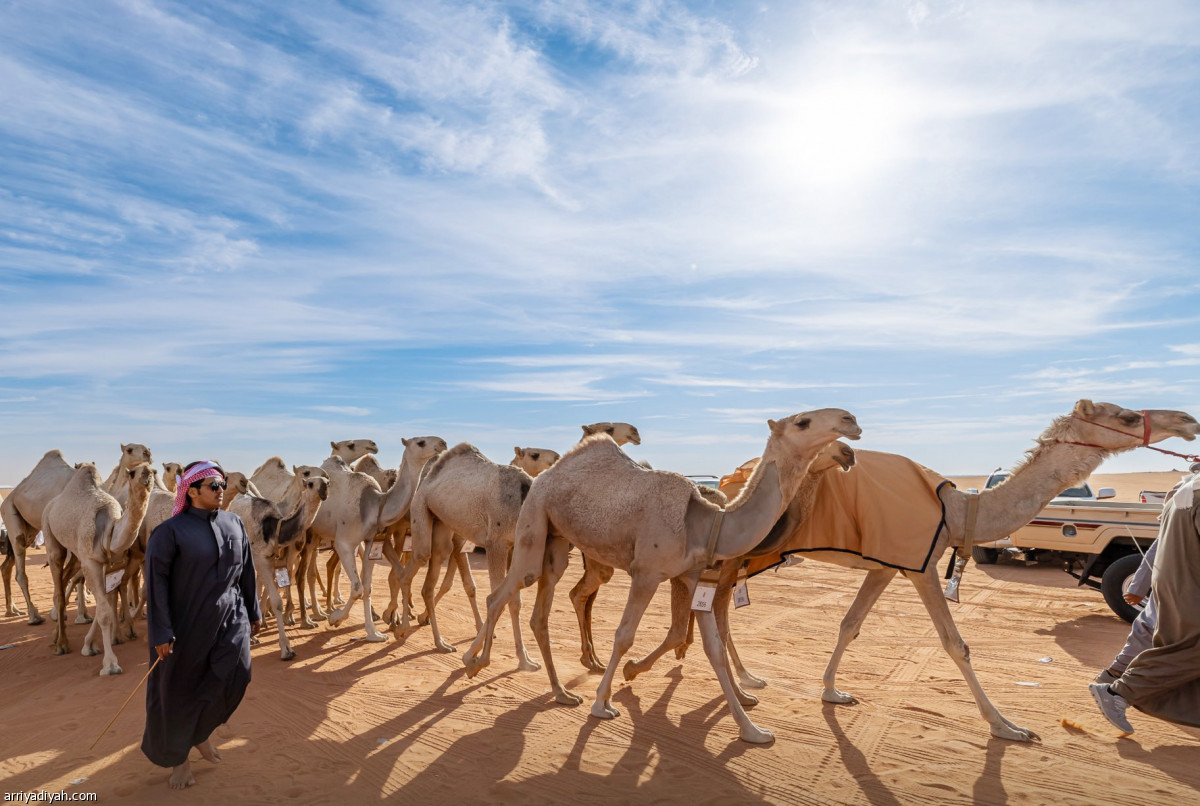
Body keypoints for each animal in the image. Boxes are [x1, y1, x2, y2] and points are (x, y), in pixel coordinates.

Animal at [2, 446, 150, 623]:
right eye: (130, 449)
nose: (148, 453)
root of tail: (11, 495)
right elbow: (77, 577)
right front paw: (77, 614)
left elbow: (78, 577)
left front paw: (80, 612)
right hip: (10, 512)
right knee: (20, 566)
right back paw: (34, 616)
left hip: (30, 530)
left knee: (7, 566)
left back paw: (13, 610)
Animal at [43, 462, 154, 676]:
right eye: (132, 472)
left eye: (154, 471)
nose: (147, 473)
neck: (110, 530)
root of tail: (51, 504)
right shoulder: (91, 562)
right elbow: (103, 612)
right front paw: (110, 665)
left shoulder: (109, 563)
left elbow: (107, 603)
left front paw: (90, 645)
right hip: (50, 533)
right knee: (58, 585)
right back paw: (61, 645)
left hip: (76, 554)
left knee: (65, 580)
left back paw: (56, 636)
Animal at [302, 436, 448, 638]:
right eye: (421, 442)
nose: (443, 443)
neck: (376, 504)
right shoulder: (344, 543)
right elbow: (357, 588)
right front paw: (335, 619)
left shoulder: (372, 542)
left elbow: (366, 587)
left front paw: (373, 633)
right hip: (310, 532)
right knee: (303, 572)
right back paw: (313, 615)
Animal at [460, 410, 864, 743]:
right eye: (803, 422)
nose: (851, 423)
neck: (708, 523)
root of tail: (546, 475)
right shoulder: (647, 573)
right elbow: (625, 636)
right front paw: (604, 702)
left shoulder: (694, 577)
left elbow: (713, 648)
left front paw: (753, 730)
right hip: (535, 517)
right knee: (504, 593)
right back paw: (474, 662)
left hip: (557, 541)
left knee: (539, 613)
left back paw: (561, 692)